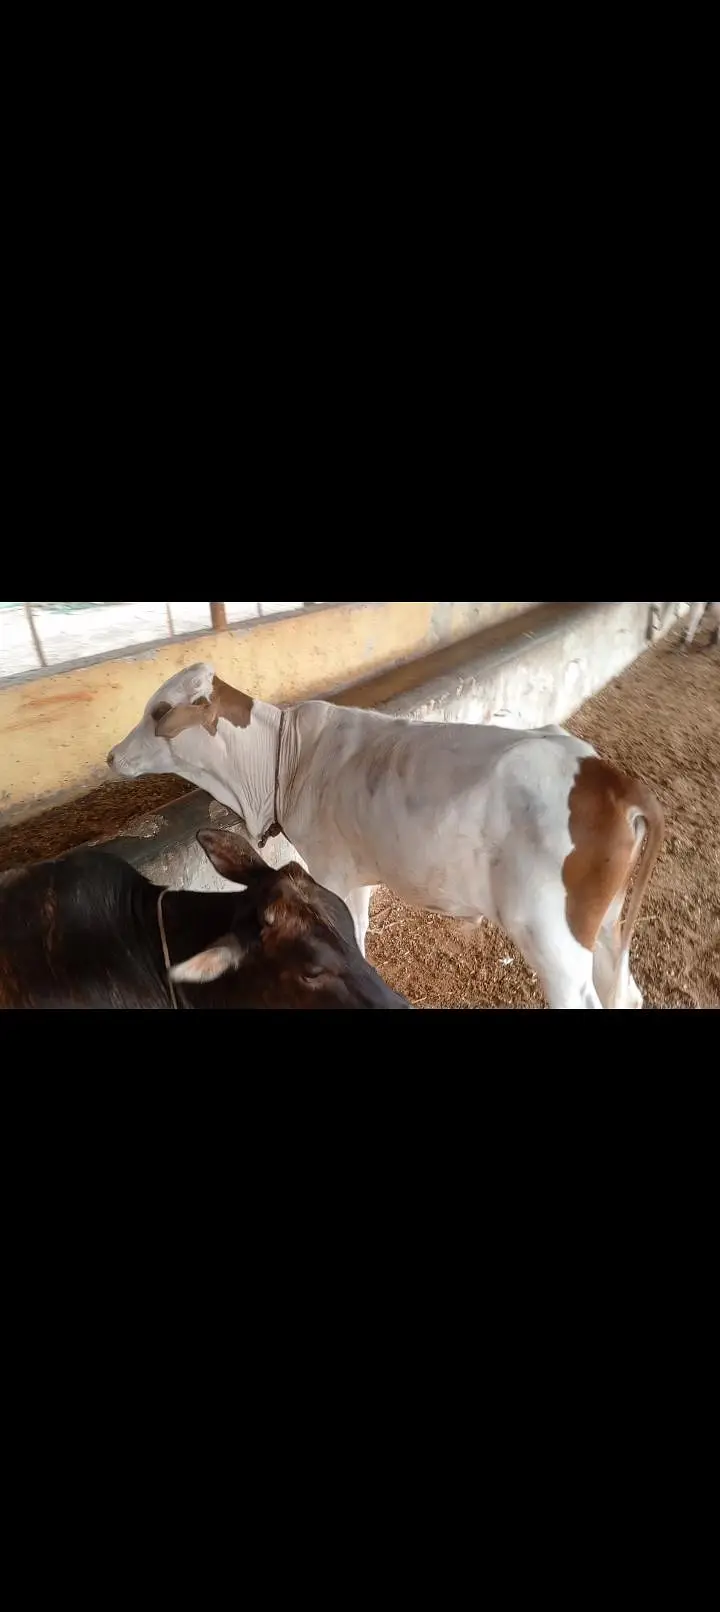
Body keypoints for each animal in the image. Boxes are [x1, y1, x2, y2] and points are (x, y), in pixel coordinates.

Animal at [107, 663, 665, 1010]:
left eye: (159, 711)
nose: (112, 755)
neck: (279, 764)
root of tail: (605, 775)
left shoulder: (332, 869)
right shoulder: (356, 876)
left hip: (552, 937)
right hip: (604, 924)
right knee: (623, 991)